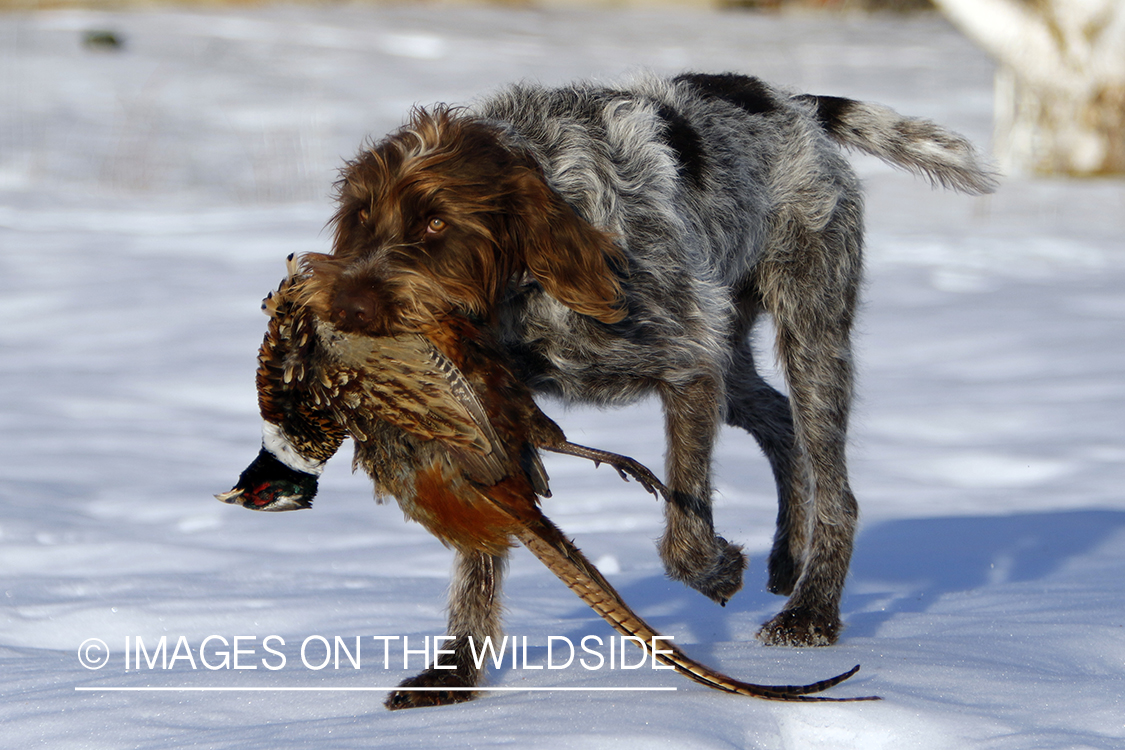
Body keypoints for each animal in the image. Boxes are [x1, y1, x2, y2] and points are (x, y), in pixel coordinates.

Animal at [308, 73, 994, 647]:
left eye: (434, 224)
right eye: (361, 216)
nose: (347, 306)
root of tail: (790, 103)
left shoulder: (688, 366)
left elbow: (683, 537)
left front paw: (717, 570)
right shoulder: (487, 408)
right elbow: (485, 536)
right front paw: (457, 677)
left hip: (809, 333)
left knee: (833, 484)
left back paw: (812, 610)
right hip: (732, 351)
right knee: (779, 420)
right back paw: (788, 556)